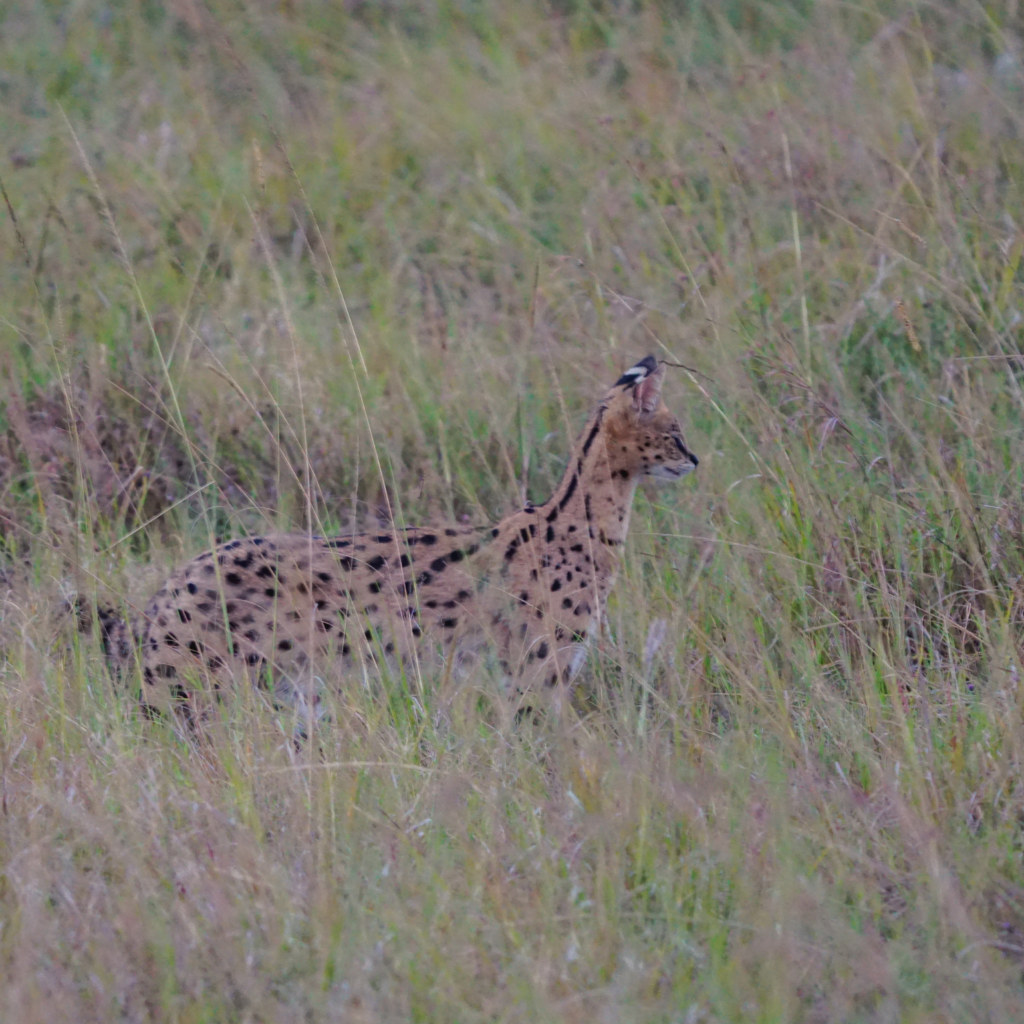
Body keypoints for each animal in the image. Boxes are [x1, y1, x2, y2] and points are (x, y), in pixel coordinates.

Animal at [112, 356, 700, 724]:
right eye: (675, 434)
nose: (696, 459)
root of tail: (171, 584)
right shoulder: (539, 673)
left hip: (291, 697)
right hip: (206, 689)